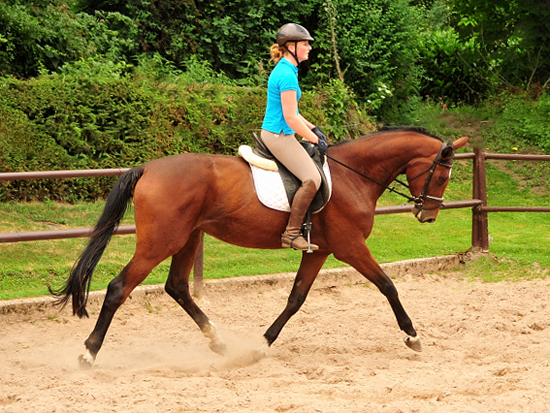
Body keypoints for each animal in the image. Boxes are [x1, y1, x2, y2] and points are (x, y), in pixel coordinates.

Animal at [52, 127, 470, 366]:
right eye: (443, 174)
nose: (429, 215)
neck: (354, 175)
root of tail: (149, 168)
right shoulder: (350, 247)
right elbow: (387, 285)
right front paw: (412, 336)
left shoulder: (320, 251)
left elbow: (296, 298)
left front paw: (261, 346)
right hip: (161, 241)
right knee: (119, 288)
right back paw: (88, 352)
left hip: (188, 238)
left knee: (177, 287)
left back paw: (219, 342)